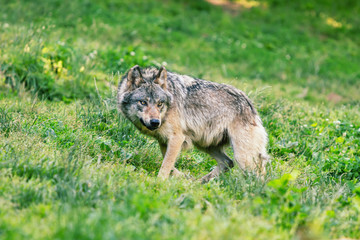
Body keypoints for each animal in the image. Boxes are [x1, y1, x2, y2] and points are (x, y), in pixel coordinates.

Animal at [116, 65, 268, 182]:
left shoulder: (177, 138)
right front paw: (182, 177)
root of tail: (249, 103)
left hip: (242, 157)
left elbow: (166, 165)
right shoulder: (164, 141)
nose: (155, 122)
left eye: (159, 104)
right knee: (227, 163)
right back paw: (200, 182)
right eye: (143, 102)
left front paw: (159, 182)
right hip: (205, 145)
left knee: (258, 175)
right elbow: (168, 163)